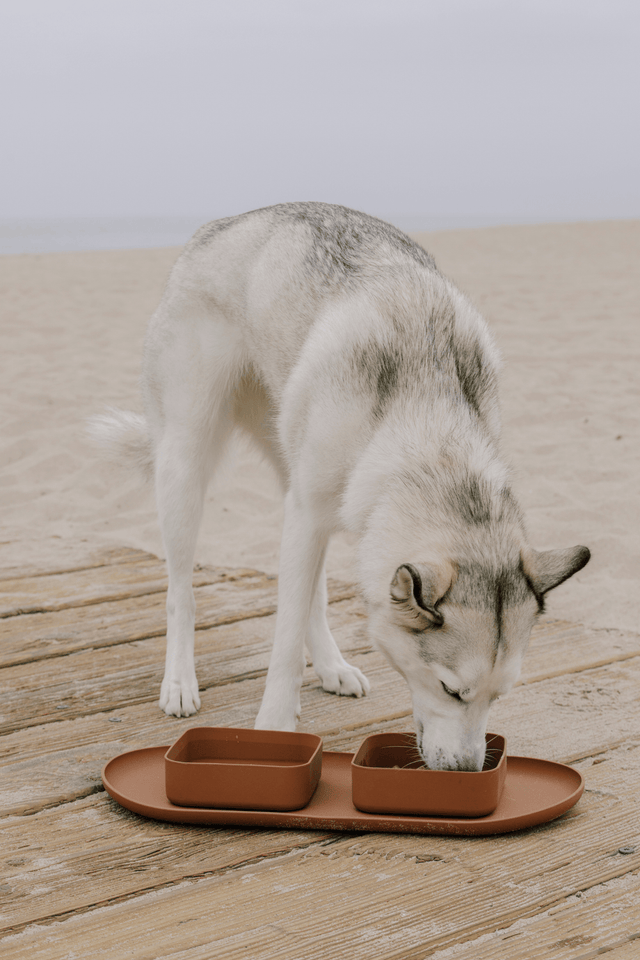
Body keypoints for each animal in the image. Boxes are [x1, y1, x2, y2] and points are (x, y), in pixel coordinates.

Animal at [91, 202, 592, 772]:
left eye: (499, 695)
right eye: (451, 690)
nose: (467, 771)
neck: (425, 420)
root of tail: (222, 224)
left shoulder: (316, 512)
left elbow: (309, 598)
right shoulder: (307, 514)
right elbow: (284, 640)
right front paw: (273, 729)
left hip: (293, 472)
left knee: (311, 591)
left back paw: (331, 666)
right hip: (186, 462)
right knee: (182, 592)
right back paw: (179, 679)